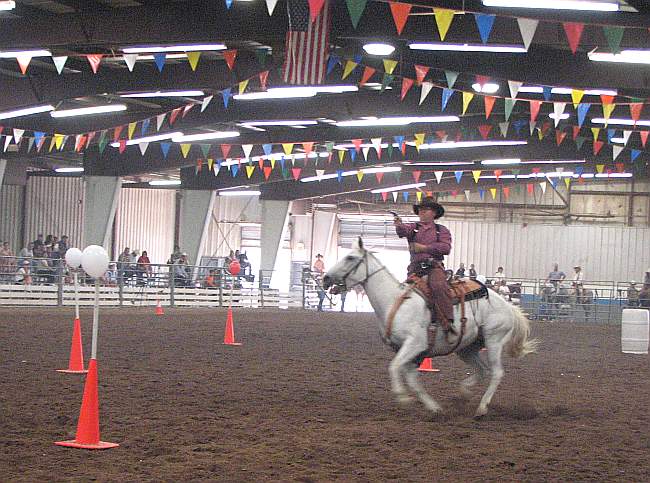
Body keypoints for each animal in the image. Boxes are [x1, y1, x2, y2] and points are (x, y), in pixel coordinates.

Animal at [322, 239, 540, 420]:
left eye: (350, 258)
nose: (325, 278)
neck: (394, 302)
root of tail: (508, 306)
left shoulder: (415, 344)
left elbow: (394, 367)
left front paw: (402, 397)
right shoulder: (410, 352)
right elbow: (412, 380)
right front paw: (434, 408)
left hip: (494, 340)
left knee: (496, 373)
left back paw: (481, 408)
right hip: (467, 348)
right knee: (482, 370)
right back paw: (463, 394)